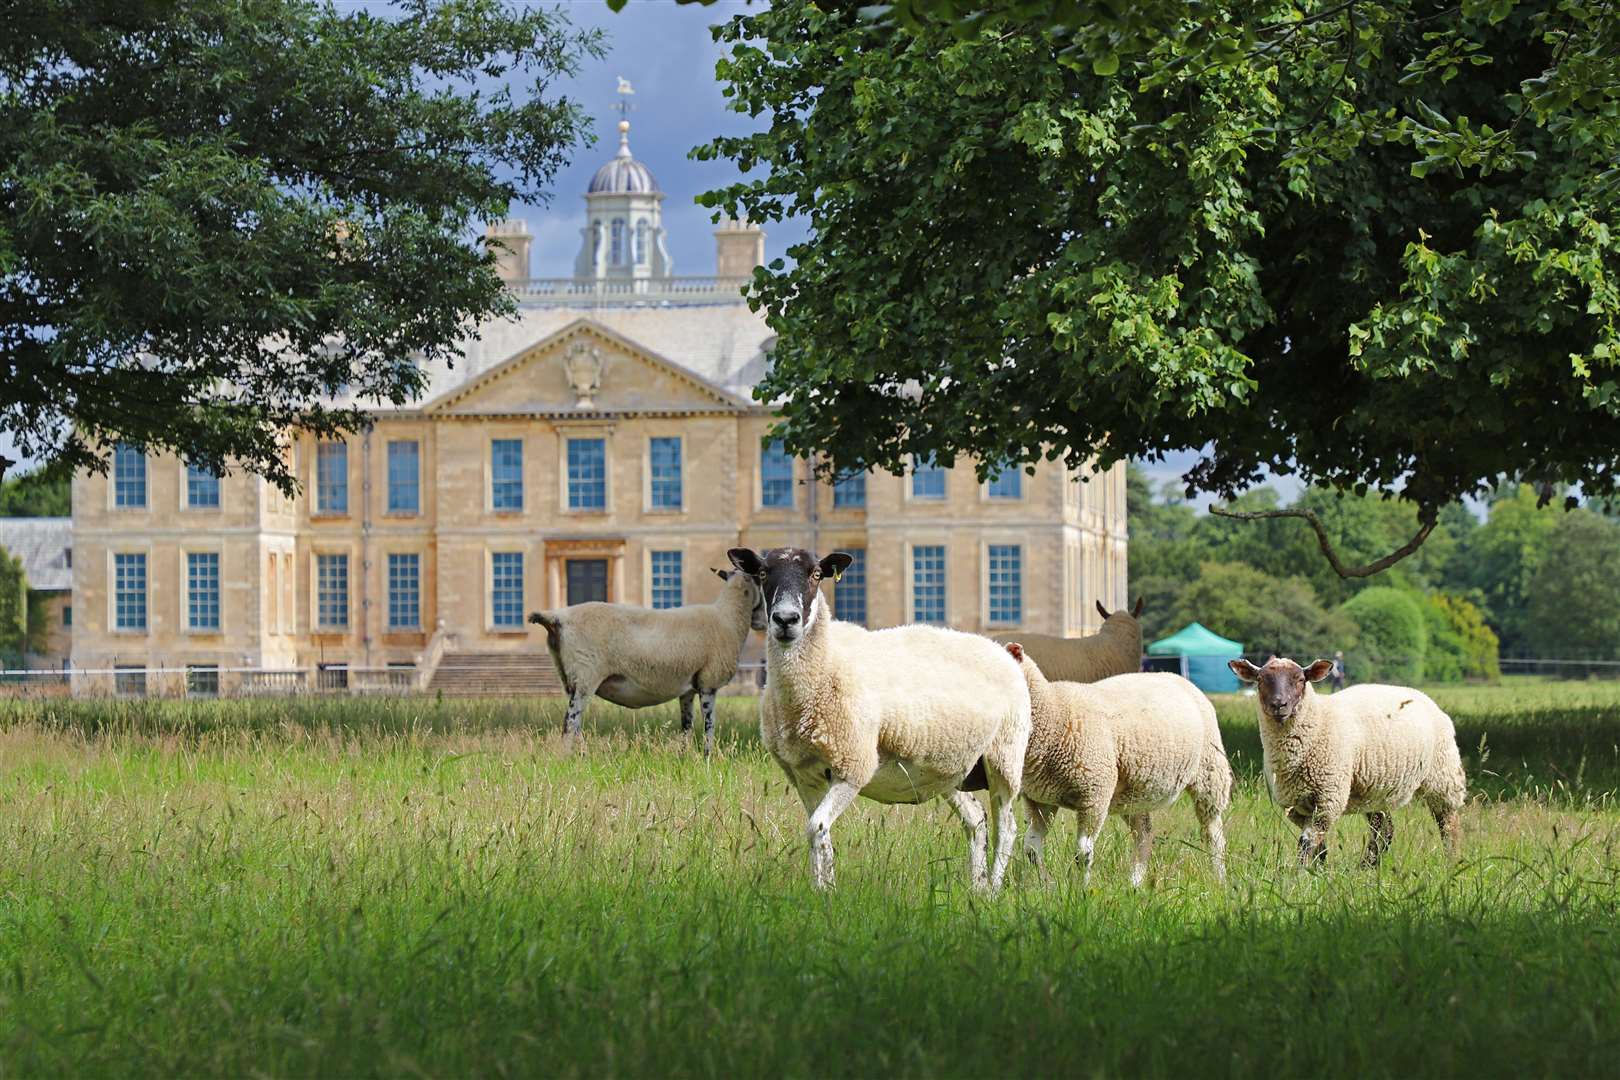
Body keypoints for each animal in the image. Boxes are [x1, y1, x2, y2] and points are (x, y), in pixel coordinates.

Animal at [524, 569, 764, 757]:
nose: (763, 618)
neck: (729, 616)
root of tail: (557, 617)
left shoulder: (688, 687)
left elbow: (686, 725)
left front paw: (683, 757)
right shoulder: (708, 682)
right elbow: (709, 725)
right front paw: (707, 758)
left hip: (571, 679)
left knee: (575, 725)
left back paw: (582, 756)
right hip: (586, 675)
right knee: (570, 723)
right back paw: (566, 759)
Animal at [732, 544, 1030, 893]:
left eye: (816, 574)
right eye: (763, 572)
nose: (785, 620)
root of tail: (1002, 651)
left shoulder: (853, 764)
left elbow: (816, 827)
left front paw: (827, 893)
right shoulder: (803, 774)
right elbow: (817, 833)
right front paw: (821, 891)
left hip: (1005, 756)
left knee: (1007, 827)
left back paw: (993, 890)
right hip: (951, 768)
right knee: (976, 818)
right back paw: (978, 888)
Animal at [997, 641, 1224, 887]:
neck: (1054, 712)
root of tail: (1177, 677)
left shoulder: (1095, 794)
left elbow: (1083, 854)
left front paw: (1081, 890)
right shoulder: (1040, 799)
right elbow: (1030, 849)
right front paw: (1049, 885)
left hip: (1210, 773)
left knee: (1213, 832)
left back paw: (1219, 878)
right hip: (1135, 793)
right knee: (1144, 834)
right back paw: (1134, 883)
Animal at [1224, 654, 1470, 867]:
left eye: (1300, 680)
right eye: (1260, 680)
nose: (1279, 704)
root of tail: (1422, 696)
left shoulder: (1328, 798)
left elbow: (1306, 843)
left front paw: (1300, 875)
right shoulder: (1297, 806)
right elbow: (1319, 846)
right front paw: (1318, 872)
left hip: (1442, 778)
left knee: (1448, 825)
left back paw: (1451, 862)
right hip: (1375, 789)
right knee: (1384, 830)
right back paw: (1367, 867)